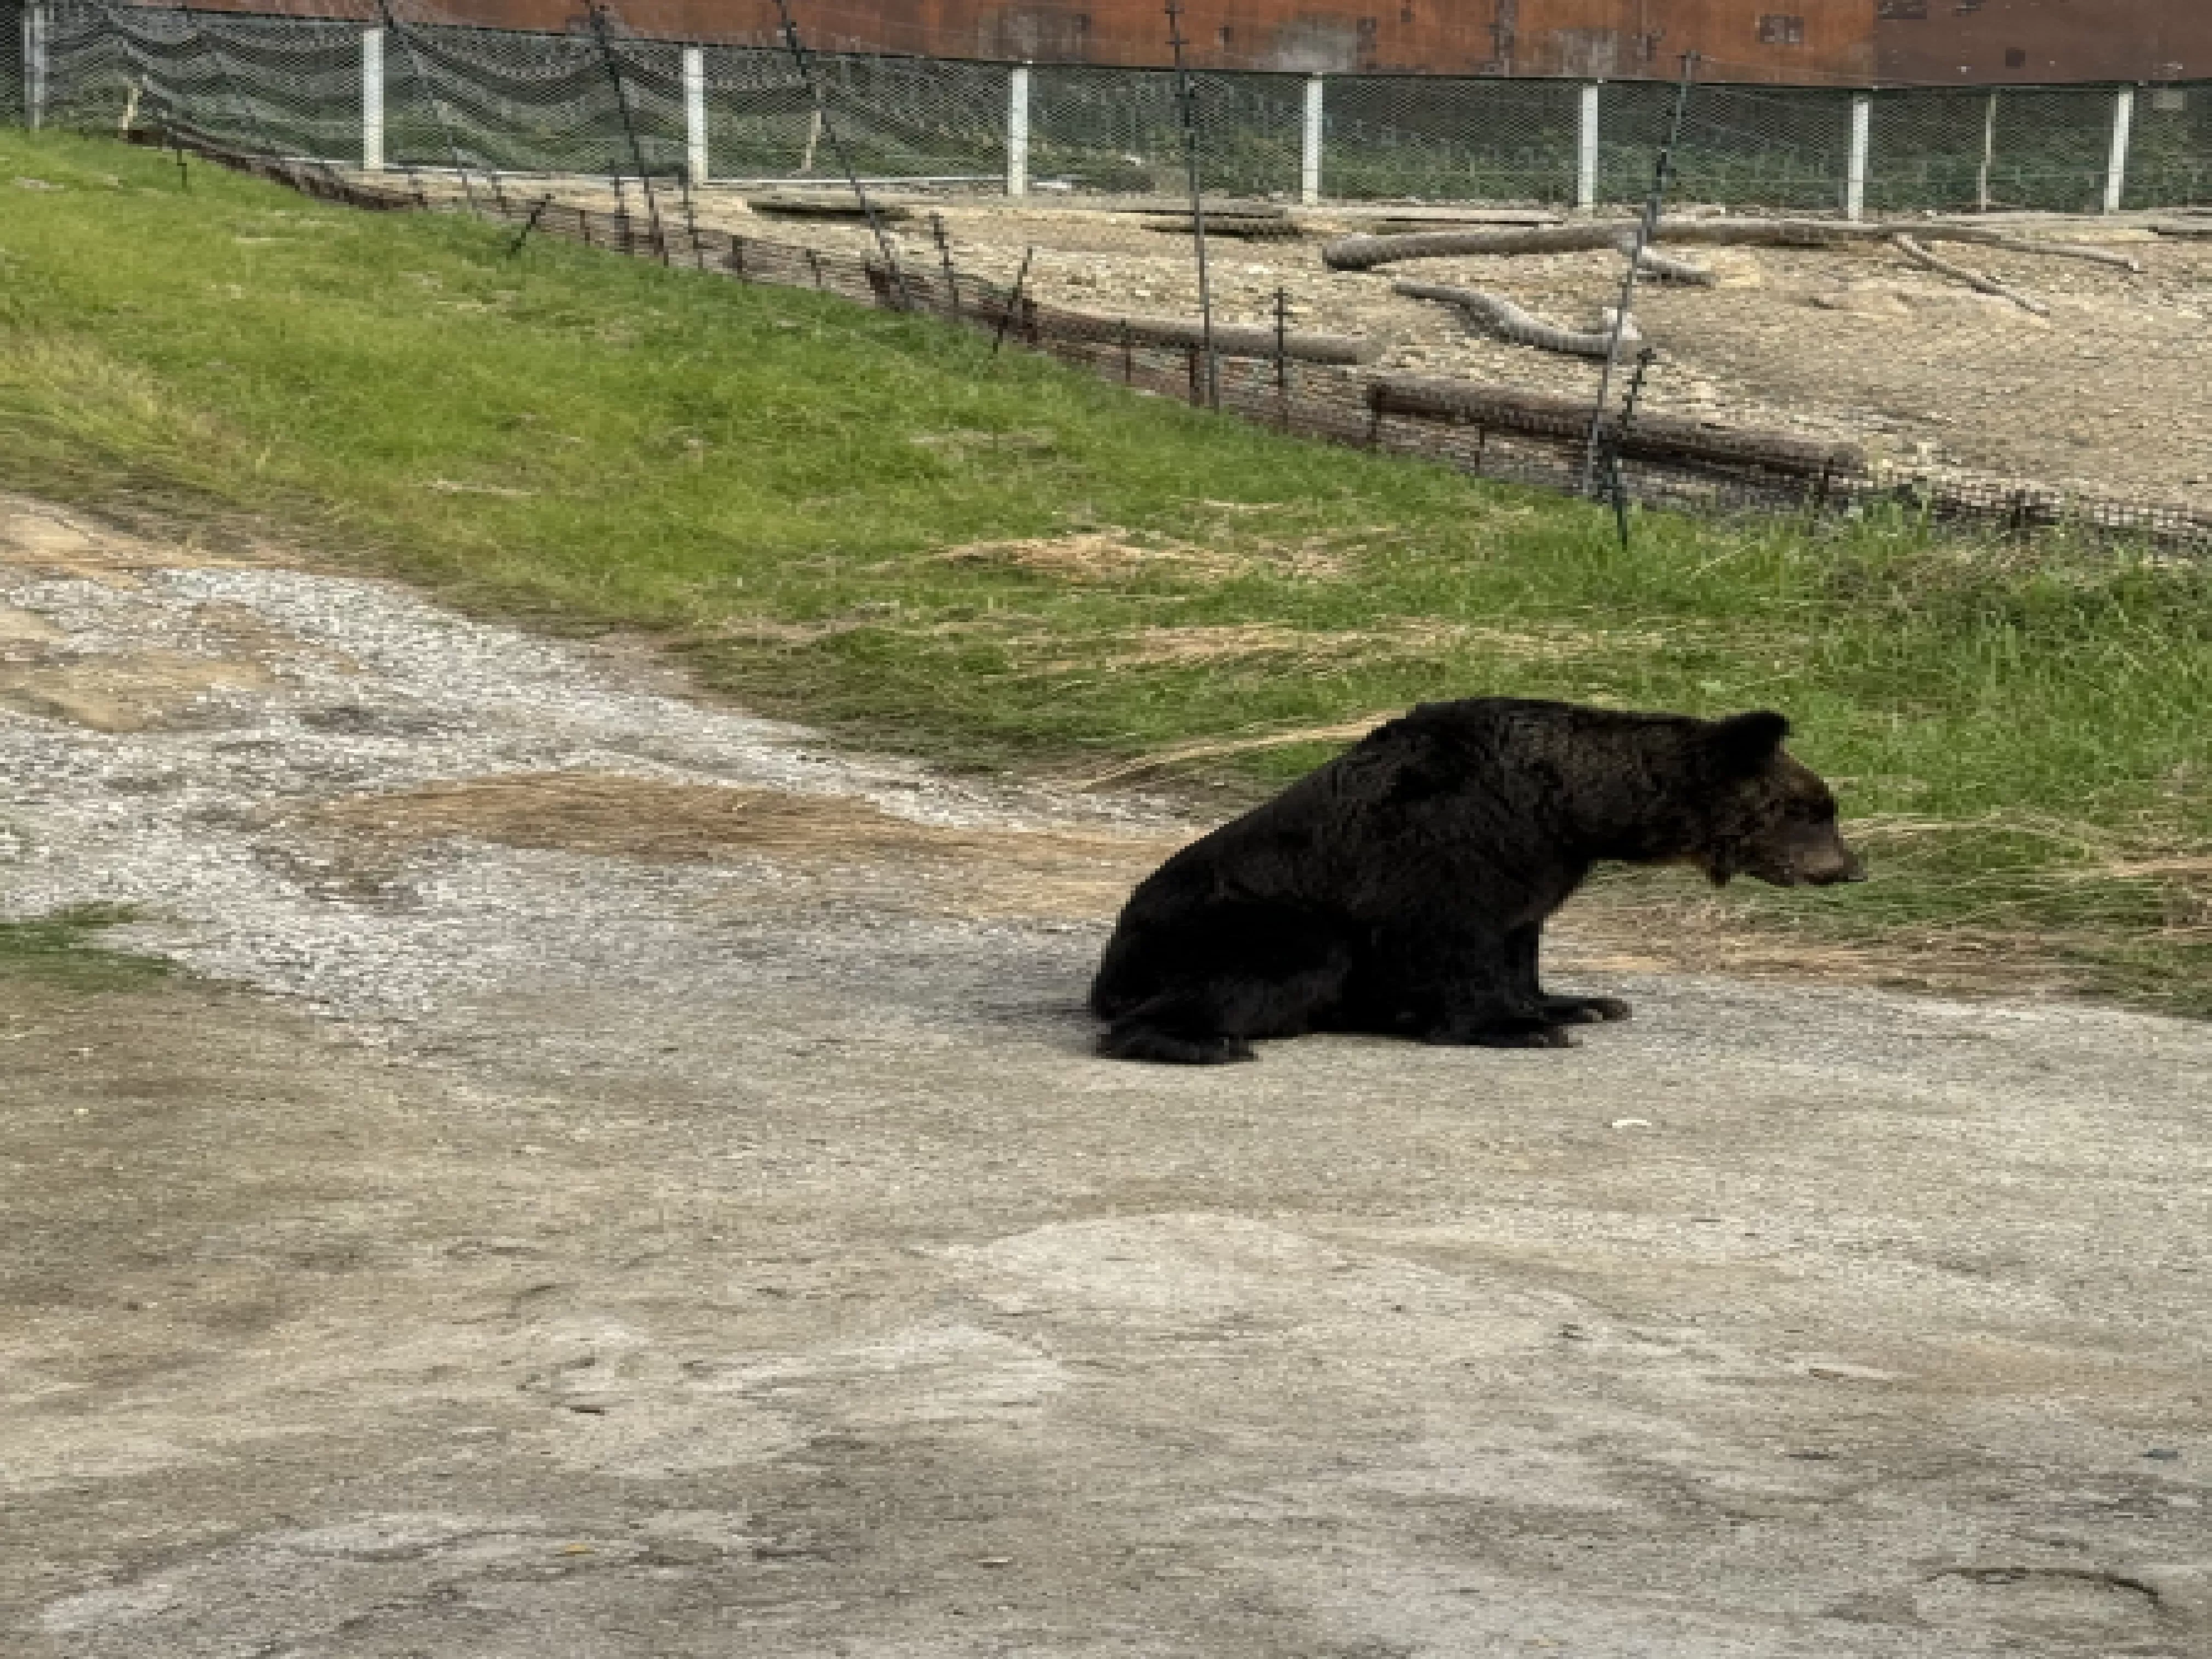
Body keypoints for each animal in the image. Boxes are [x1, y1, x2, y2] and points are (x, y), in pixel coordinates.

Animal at [1088, 699, 1867, 1066]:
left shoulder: (1537, 867)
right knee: (1284, 961)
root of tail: (1111, 968)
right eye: (1815, 811)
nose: (1848, 867)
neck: (1571, 807)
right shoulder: (1449, 845)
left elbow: (1521, 941)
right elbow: (1454, 945)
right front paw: (1518, 1028)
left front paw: (1576, 1003)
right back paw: (1201, 1040)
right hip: (1228, 921)